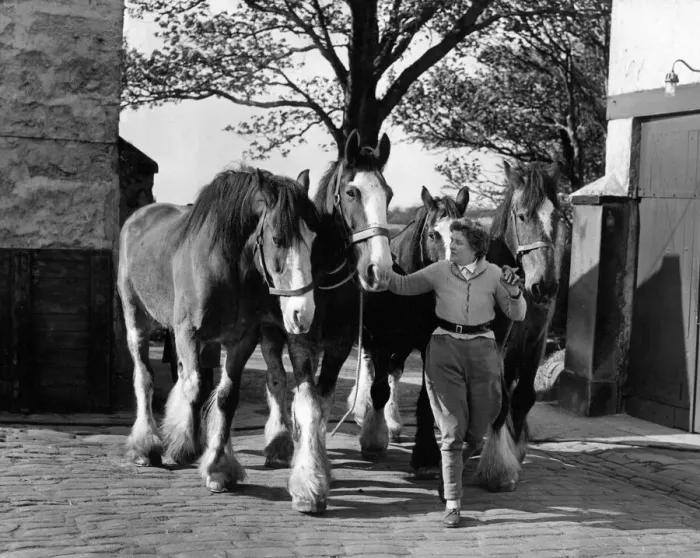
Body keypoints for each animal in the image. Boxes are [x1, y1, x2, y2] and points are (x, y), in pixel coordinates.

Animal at [118, 166, 319, 494]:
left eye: (313, 239)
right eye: (277, 238)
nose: (303, 312)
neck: (227, 268)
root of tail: (138, 217)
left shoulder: (241, 341)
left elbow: (225, 397)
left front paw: (218, 467)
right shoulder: (187, 333)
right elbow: (195, 387)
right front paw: (183, 446)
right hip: (136, 318)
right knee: (145, 378)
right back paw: (146, 446)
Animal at [259, 130, 394, 514]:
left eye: (389, 194)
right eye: (352, 192)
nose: (378, 270)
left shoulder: (337, 346)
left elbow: (323, 402)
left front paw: (319, 465)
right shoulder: (300, 342)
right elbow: (306, 403)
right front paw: (307, 486)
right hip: (270, 334)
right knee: (276, 381)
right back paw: (279, 440)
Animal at [347, 185, 470, 479]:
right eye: (434, 234)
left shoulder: (427, 343)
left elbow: (426, 399)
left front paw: (426, 456)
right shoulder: (380, 340)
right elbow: (378, 389)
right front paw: (373, 441)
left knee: (395, 372)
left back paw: (391, 422)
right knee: (369, 369)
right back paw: (362, 411)